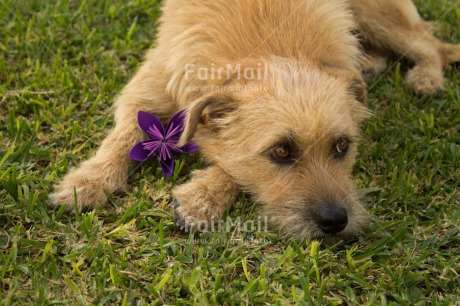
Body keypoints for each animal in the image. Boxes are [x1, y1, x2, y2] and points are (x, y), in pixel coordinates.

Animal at [50, 0, 460, 239]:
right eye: (281, 151)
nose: (336, 222)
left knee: (429, 43)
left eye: (342, 147)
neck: (265, 47)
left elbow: (231, 164)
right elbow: (123, 136)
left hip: (379, 14)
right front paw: (87, 182)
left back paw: (426, 76)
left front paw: (203, 197)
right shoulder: (147, 89)